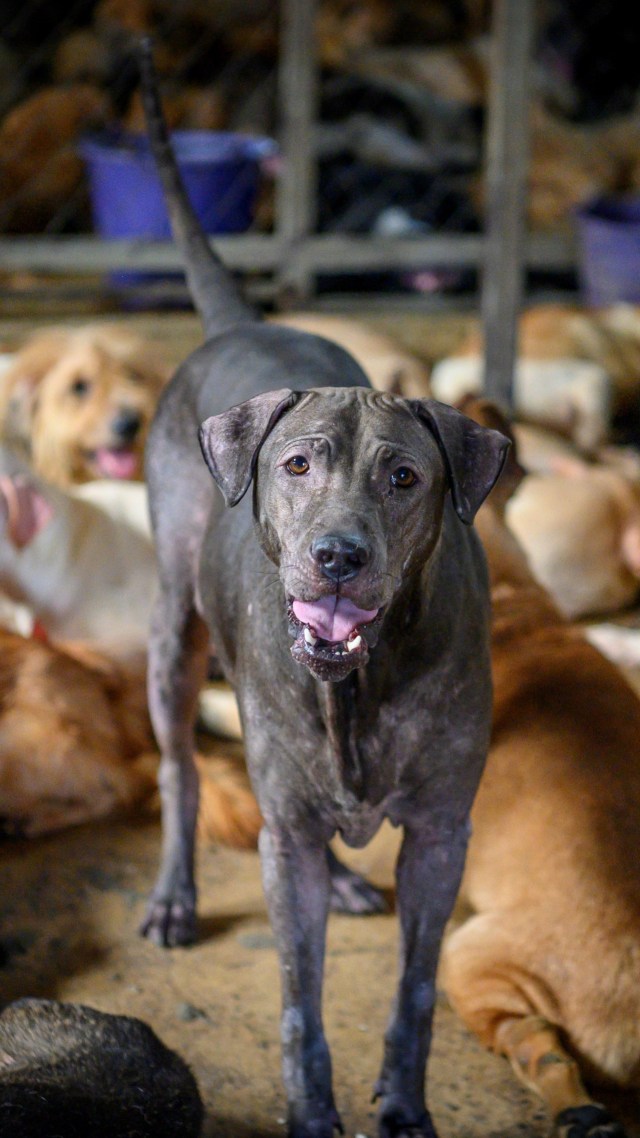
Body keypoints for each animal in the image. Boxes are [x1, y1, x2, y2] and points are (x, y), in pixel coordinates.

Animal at [137, 42, 505, 1138]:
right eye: (297, 465)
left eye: (403, 476)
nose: (338, 555)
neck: (358, 680)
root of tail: (239, 320)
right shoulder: (284, 838)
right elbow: (301, 997)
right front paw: (310, 1109)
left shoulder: (440, 832)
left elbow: (416, 988)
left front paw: (405, 1106)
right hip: (171, 634)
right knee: (178, 769)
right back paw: (174, 894)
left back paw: (341, 879)